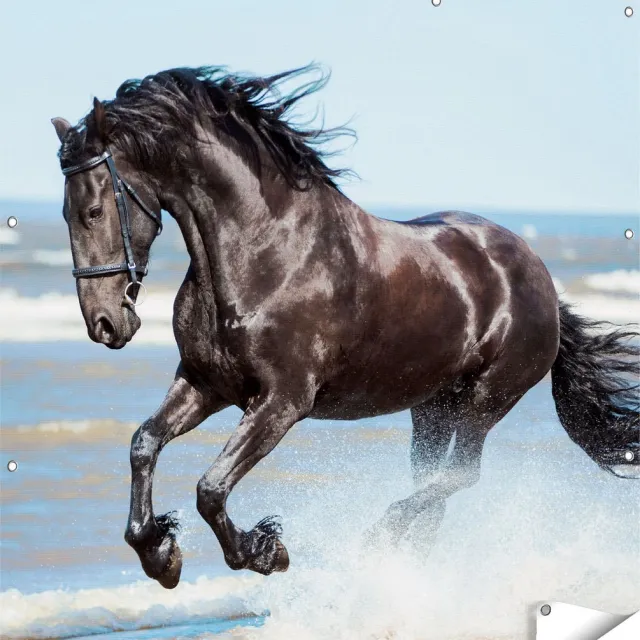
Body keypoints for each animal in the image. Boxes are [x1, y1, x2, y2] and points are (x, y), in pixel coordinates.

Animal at [51, 65, 640, 590]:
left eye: (94, 211)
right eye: (64, 213)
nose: (105, 323)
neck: (264, 251)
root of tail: (542, 279)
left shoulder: (282, 402)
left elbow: (211, 488)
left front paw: (265, 551)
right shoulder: (205, 383)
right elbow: (144, 443)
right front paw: (160, 554)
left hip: (486, 400)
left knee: (458, 476)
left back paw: (378, 540)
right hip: (433, 406)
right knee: (434, 484)